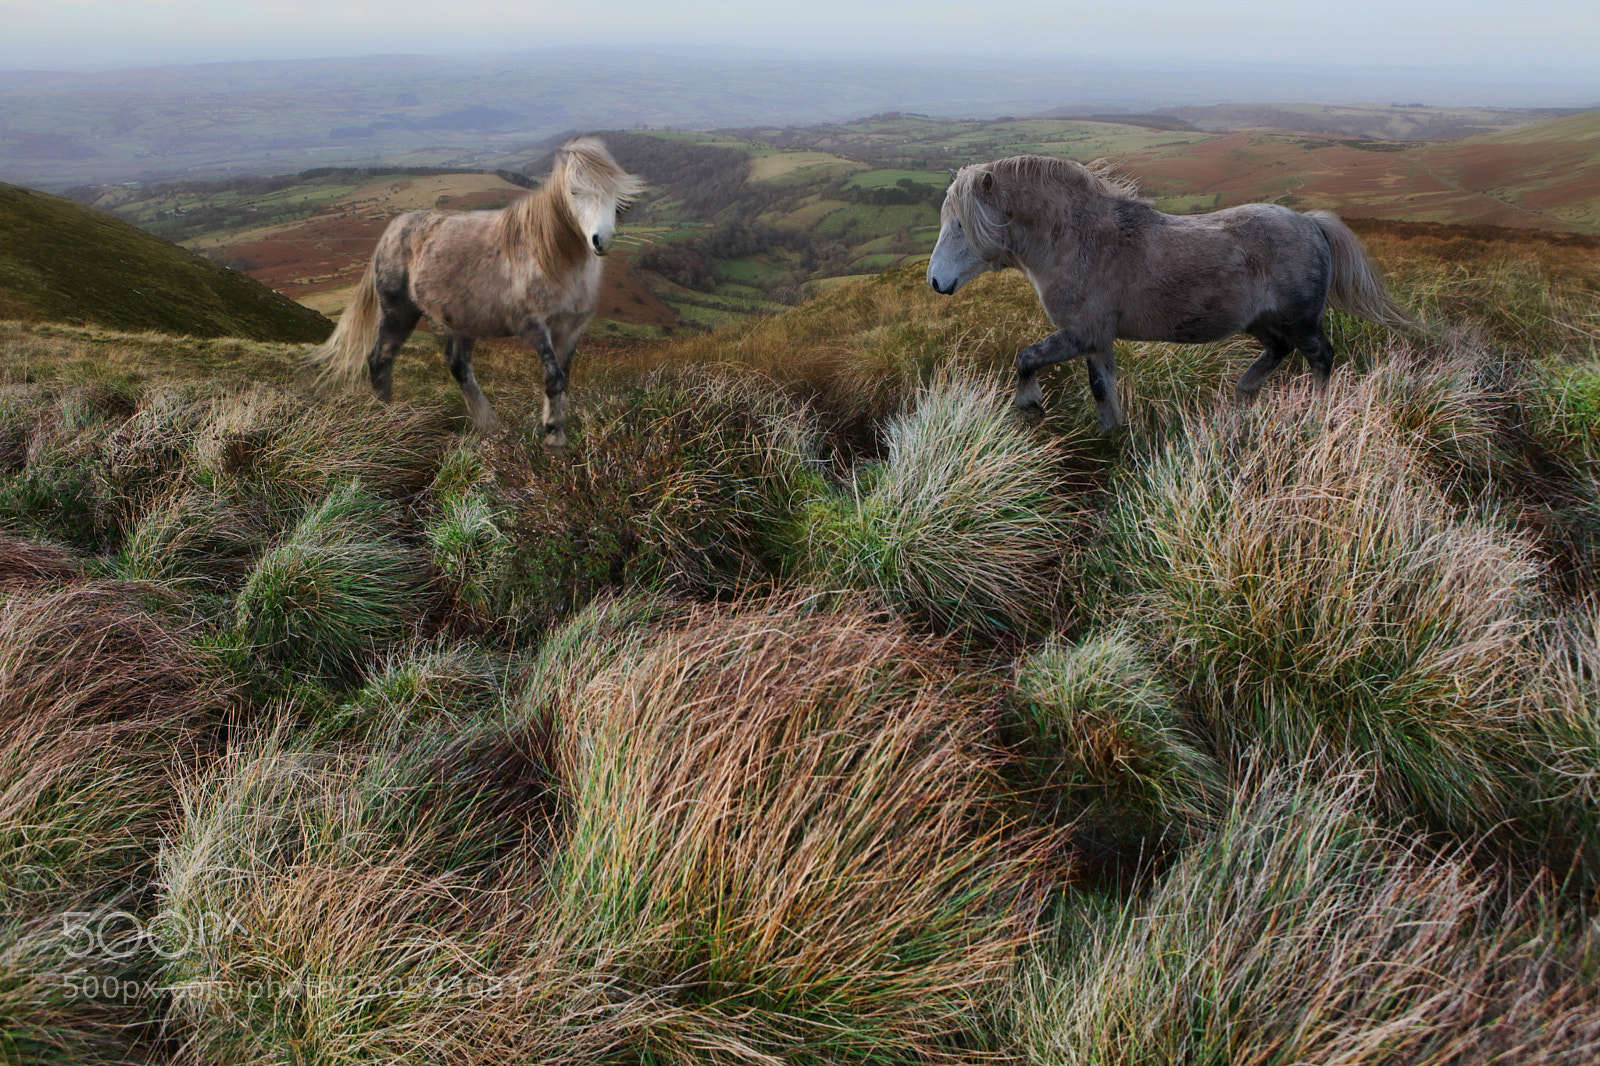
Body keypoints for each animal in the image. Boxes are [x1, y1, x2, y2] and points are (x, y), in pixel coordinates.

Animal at [306, 135, 644, 446]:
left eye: (617, 196)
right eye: (574, 191)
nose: (601, 240)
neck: (551, 257)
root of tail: (392, 231)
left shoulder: (571, 329)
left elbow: (563, 379)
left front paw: (558, 431)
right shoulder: (534, 327)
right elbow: (553, 378)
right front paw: (553, 438)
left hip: (459, 320)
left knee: (458, 367)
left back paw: (489, 427)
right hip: (397, 312)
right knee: (380, 359)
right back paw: (387, 422)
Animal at [927, 155, 1414, 430]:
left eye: (960, 225)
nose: (935, 282)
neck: (1081, 240)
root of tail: (1312, 223)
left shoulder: (1082, 334)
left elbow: (1026, 358)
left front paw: (1029, 406)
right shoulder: (1097, 341)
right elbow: (1102, 391)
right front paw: (1113, 440)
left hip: (1300, 319)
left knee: (1321, 357)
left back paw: (1314, 414)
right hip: (1262, 322)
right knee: (1279, 351)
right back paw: (1243, 395)